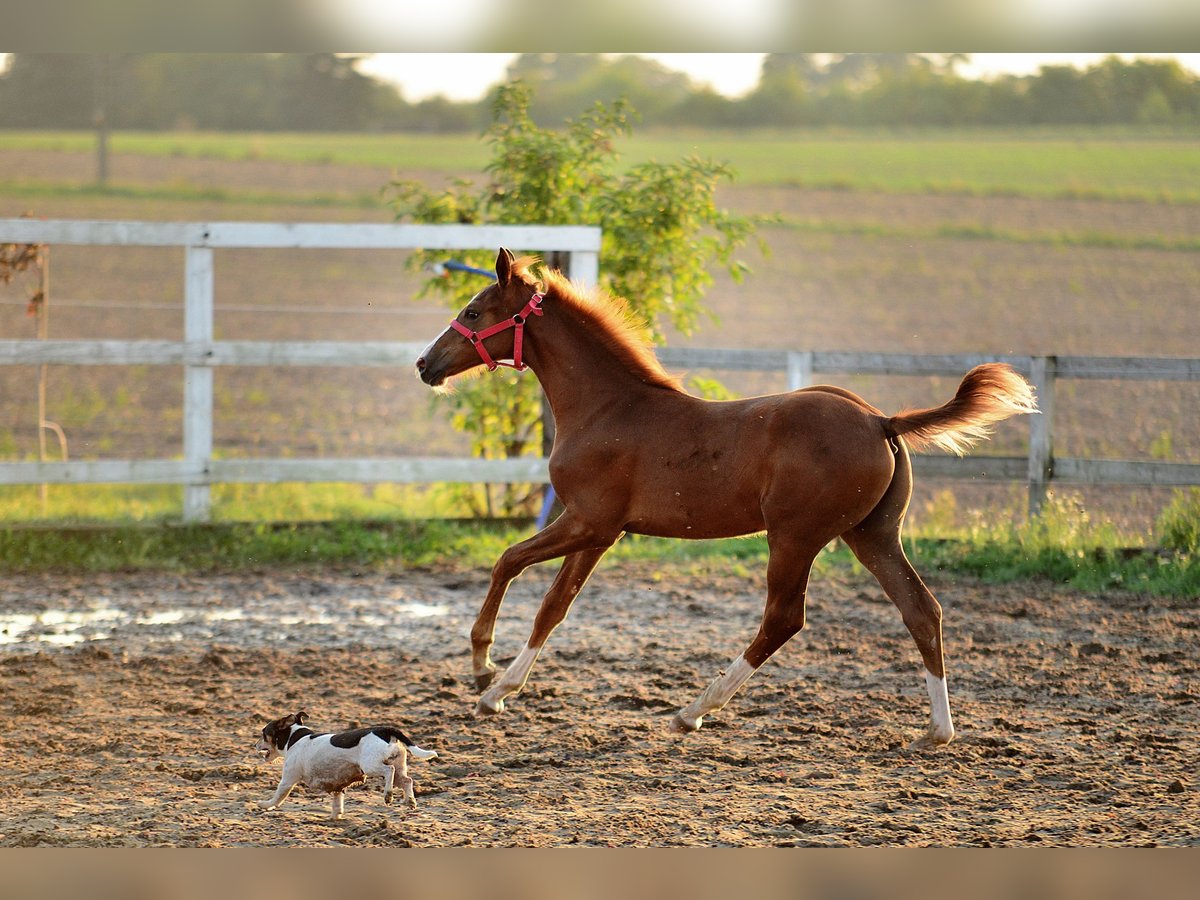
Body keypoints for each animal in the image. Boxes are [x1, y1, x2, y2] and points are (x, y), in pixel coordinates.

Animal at [255, 715, 439, 820]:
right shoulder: (338, 785)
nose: (254, 745)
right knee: (407, 780)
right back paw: (410, 801)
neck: (294, 738)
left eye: (263, 733)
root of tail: (385, 730)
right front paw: (335, 817)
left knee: (389, 771)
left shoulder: (288, 779)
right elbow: (337, 803)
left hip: (371, 765)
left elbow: (278, 796)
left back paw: (388, 795)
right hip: (399, 767)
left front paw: (264, 804)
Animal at [417, 250, 1036, 748]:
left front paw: (483, 672)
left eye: (473, 312)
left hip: (795, 537)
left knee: (784, 618)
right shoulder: (600, 532)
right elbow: (554, 606)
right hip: (872, 535)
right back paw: (938, 730)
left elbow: (508, 562)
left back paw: (694, 709)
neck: (607, 408)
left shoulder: (589, 521)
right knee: (921, 609)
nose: (426, 364)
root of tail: (882, 420)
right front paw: (501, 690)